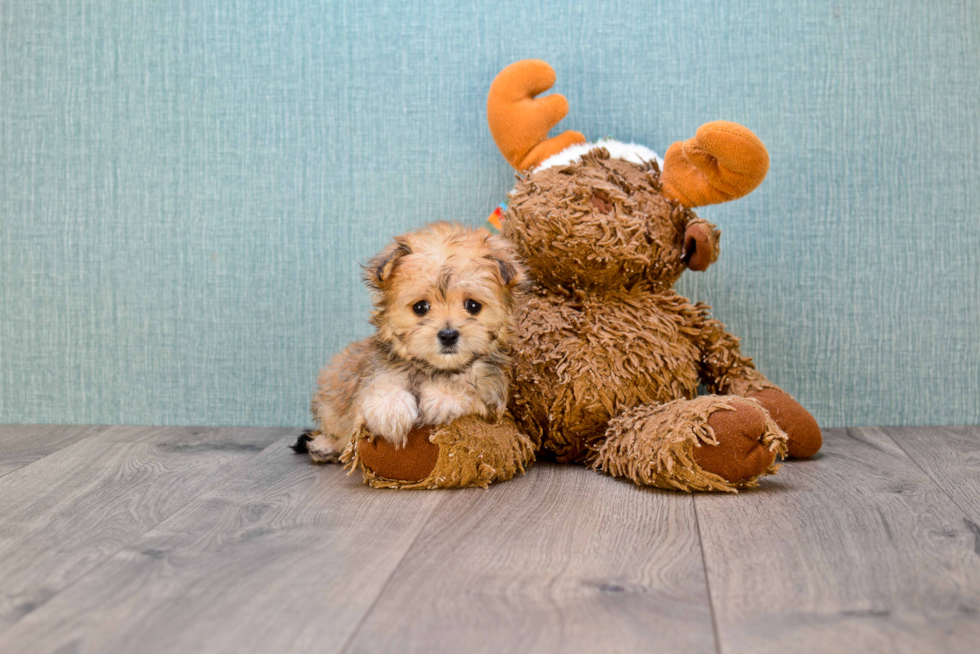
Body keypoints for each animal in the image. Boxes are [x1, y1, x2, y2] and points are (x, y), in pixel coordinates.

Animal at [294, 223, 528, 464]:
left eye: (473, 306)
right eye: (420, 307)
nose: (448, 335)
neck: (433, 369)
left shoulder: (492, 399)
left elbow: (470, 392)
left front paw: (443, 397)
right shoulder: (376, 374)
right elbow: (378, 388)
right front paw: (390, 408)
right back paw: (324, 445)